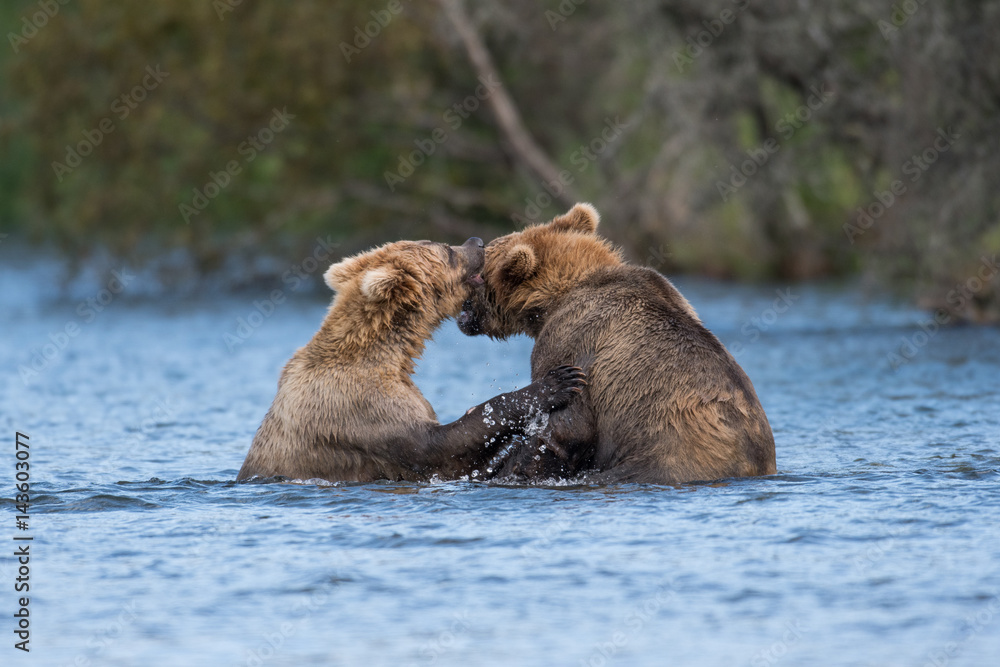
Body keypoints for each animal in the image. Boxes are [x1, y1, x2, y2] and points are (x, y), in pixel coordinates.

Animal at [236, 236, 586, 483]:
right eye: (446, 250)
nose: (477, 242)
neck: (387, 353)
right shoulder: (361, 408)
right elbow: (439, 447)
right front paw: (559, 382)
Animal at [457, 204, 776, 484]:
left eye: (481, 267)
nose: (476, 242)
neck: (554, 297)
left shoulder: (571, 341)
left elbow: (566, 425)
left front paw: (511, 468)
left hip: (664, 454)